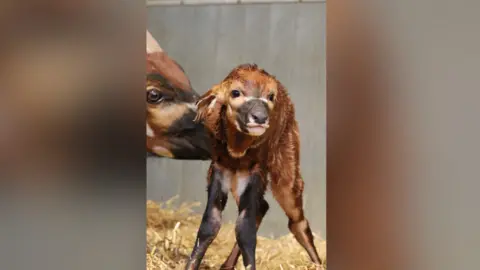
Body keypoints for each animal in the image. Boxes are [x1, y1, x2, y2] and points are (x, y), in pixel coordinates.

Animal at [186, 63, 324, 270]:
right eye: (235, 92)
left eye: (271, 96)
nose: (259, 117)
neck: (237, 152)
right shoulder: (220, 169)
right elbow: (210, 224)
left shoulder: (254, 172)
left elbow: (245, 230)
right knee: (264, 207)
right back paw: (226, 266)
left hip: (285, 171)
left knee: (297, 220)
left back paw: (318, 264)